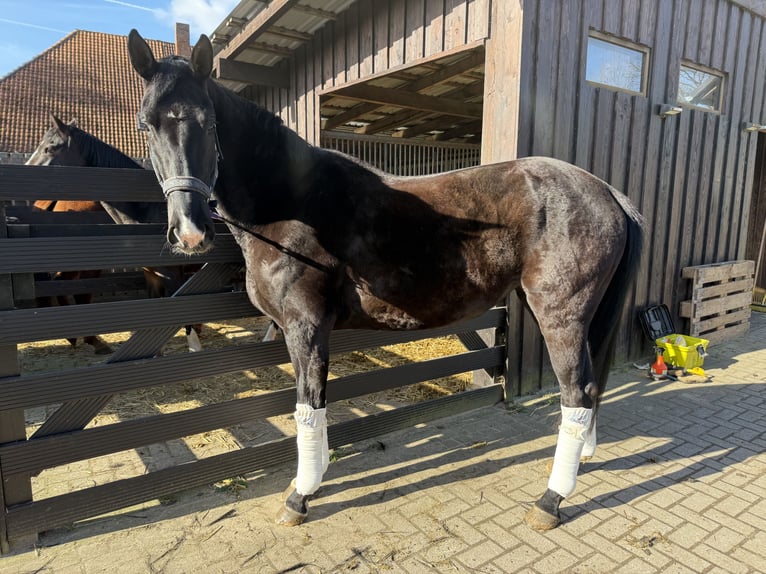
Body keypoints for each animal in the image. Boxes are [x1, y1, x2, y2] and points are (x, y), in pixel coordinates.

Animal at [128, 29, 644, 531]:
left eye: (208, 122)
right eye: (145, 123)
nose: (189, 231)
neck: (292, 205)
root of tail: (607, 192)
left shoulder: (305, 327)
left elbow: (308, 409)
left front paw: (300, 496)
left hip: (560, 316)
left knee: (576, 394)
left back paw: (550, 500)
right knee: (590, 389)